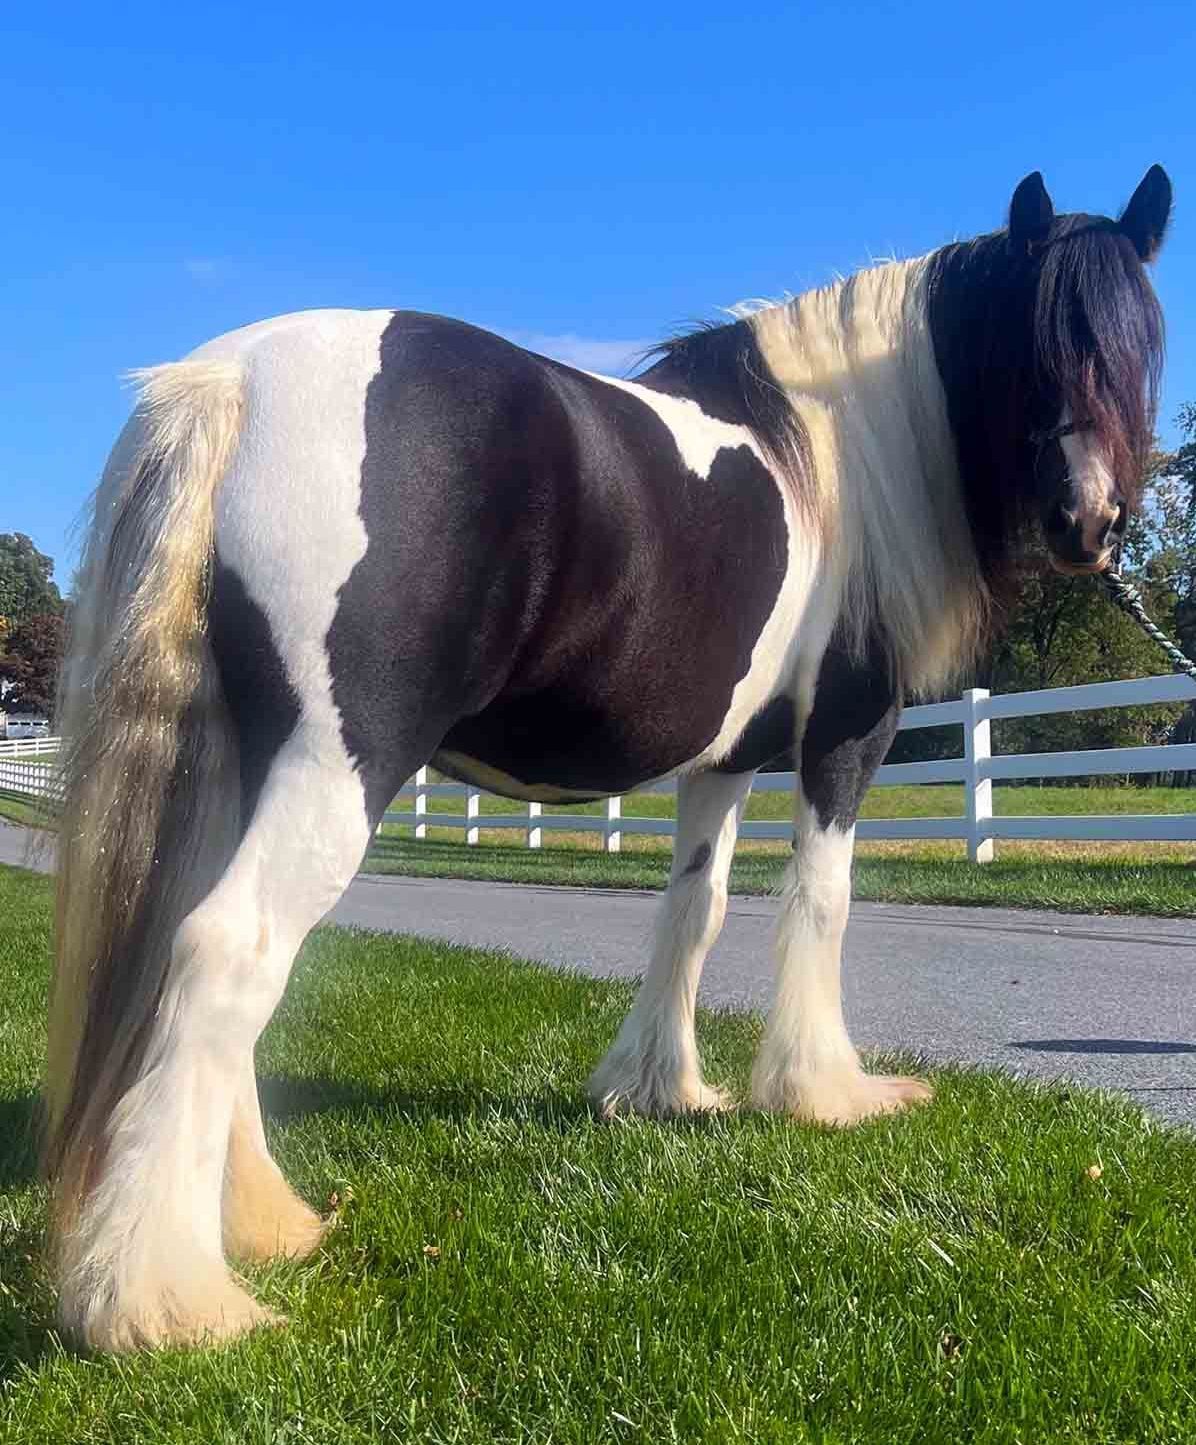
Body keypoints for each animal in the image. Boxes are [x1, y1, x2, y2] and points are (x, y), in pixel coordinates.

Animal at [44, 166, 1170, 1351]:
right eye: (1034, 342)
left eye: (1137, 345)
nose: (1090, 520)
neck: (839, 453)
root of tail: (232, 378)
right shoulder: (843, 736)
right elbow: (818, 902)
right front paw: (823, 1093)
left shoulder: (724, 761)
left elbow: (694, 910)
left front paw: (660, 1089)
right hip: (334, 762)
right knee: (232, 949)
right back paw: (167, 1297)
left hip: (239, 760)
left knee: (197, 949)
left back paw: (259, 1221)